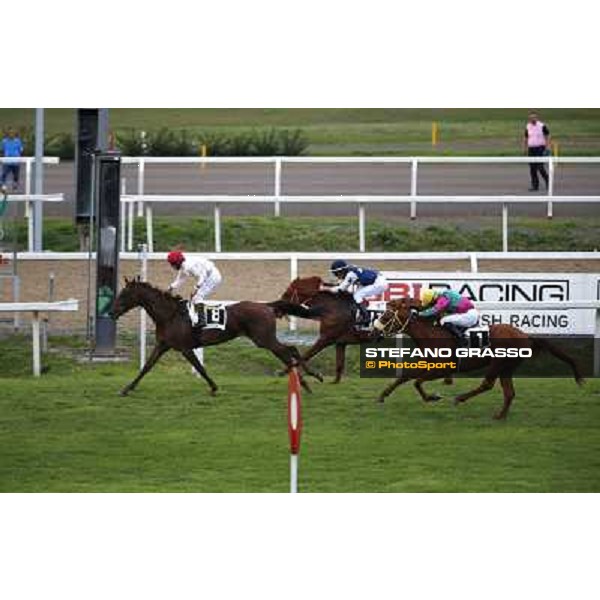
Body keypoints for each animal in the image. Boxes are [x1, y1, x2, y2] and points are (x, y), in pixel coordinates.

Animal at [110, 278, 314, 398]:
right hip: (264, 339)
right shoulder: (162, 345)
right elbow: (146, 367)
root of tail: (266, 306)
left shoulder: (185, 348)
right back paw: (307, 379)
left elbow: (200, 368)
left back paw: (307, 380)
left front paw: (214, 387)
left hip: (263, 339)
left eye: (124, 294)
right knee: (289, 351)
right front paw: (127, 388)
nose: (111, 312)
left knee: (288, 351)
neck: (170, 315)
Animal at [372, 298, 584, 420]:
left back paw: (460, 398)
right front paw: (382, 395)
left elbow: (417, 381)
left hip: (498, 363)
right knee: (509, 393)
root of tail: (526, 336)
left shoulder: (443, 368)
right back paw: (500, 415)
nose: (374, 332)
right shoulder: (428, 363)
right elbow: (406, 376)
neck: (431, 334)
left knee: (488, 384)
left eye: (387, 315)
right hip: (507, 367)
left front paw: (433, 396)